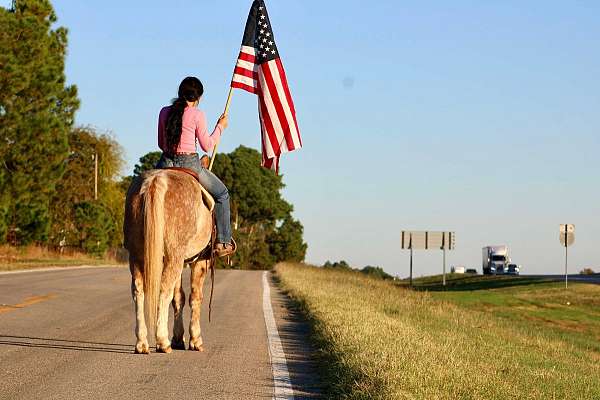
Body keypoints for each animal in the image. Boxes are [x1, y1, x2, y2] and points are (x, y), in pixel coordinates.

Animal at [123, 169, 214, 354]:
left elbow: (179, 297)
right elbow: (195, 297)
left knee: (138, 291)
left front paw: (179, 338)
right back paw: (162, 341)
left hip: (137, 256)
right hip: (174, 257)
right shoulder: (200, 261)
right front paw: (195, 340)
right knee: (163, 291)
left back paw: (142, 343)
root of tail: (155, 180)